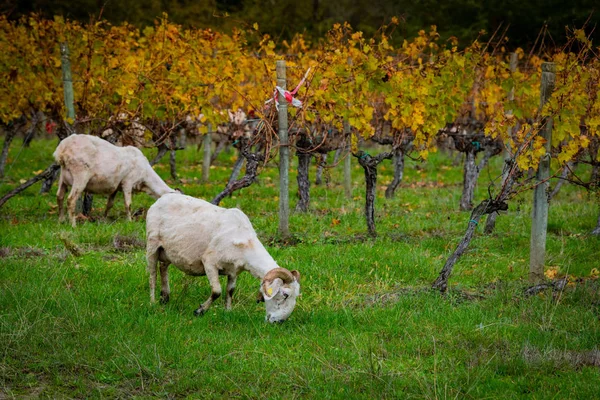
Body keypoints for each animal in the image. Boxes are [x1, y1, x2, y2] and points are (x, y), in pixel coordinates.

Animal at [146, 193, 300, 322]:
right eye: (285, 295)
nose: (279, 322)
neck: (245, 242)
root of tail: (162, 198)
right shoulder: (209, 262)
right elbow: (217, 291)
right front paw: (199, 311)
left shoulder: (234, 271)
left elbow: (230, 291)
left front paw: (228, 311)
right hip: (152, 244)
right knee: (152, 275)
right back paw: (153, 303)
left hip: (167, 251)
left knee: (163, 267)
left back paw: (165, 298)